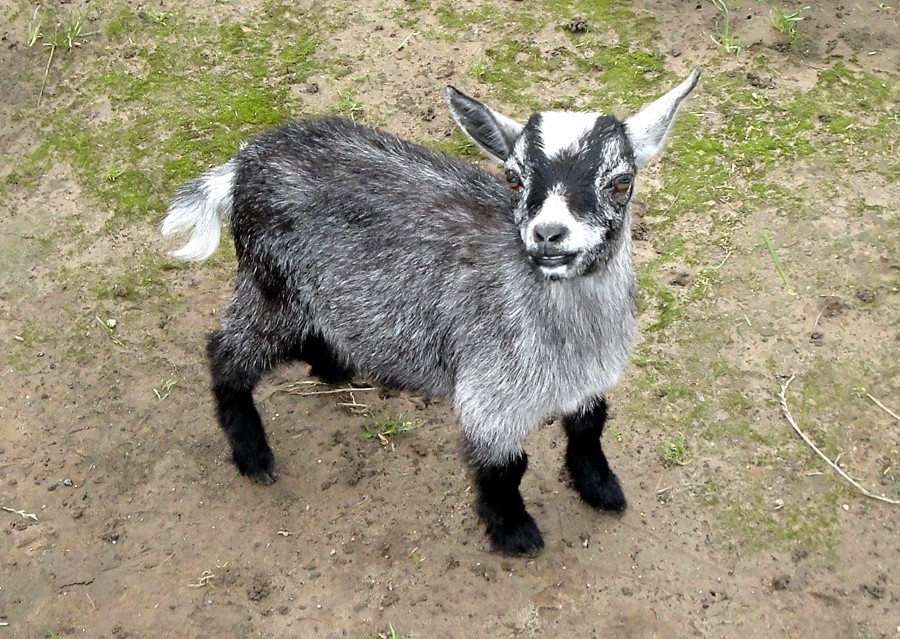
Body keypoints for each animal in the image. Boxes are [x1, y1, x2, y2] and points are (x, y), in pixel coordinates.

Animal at [163, 70, 704, 556]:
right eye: (513, 178)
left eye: (621, 181)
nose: (549, 234)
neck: (570, 333)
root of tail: (242, 164)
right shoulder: (489, 392)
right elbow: (506, 468)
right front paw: (513, 533)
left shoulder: (588, 376)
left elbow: (590, 427)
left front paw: (600, 488)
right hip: (270, 285)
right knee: (226, 352)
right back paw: (253, 455)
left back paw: (334, 366)